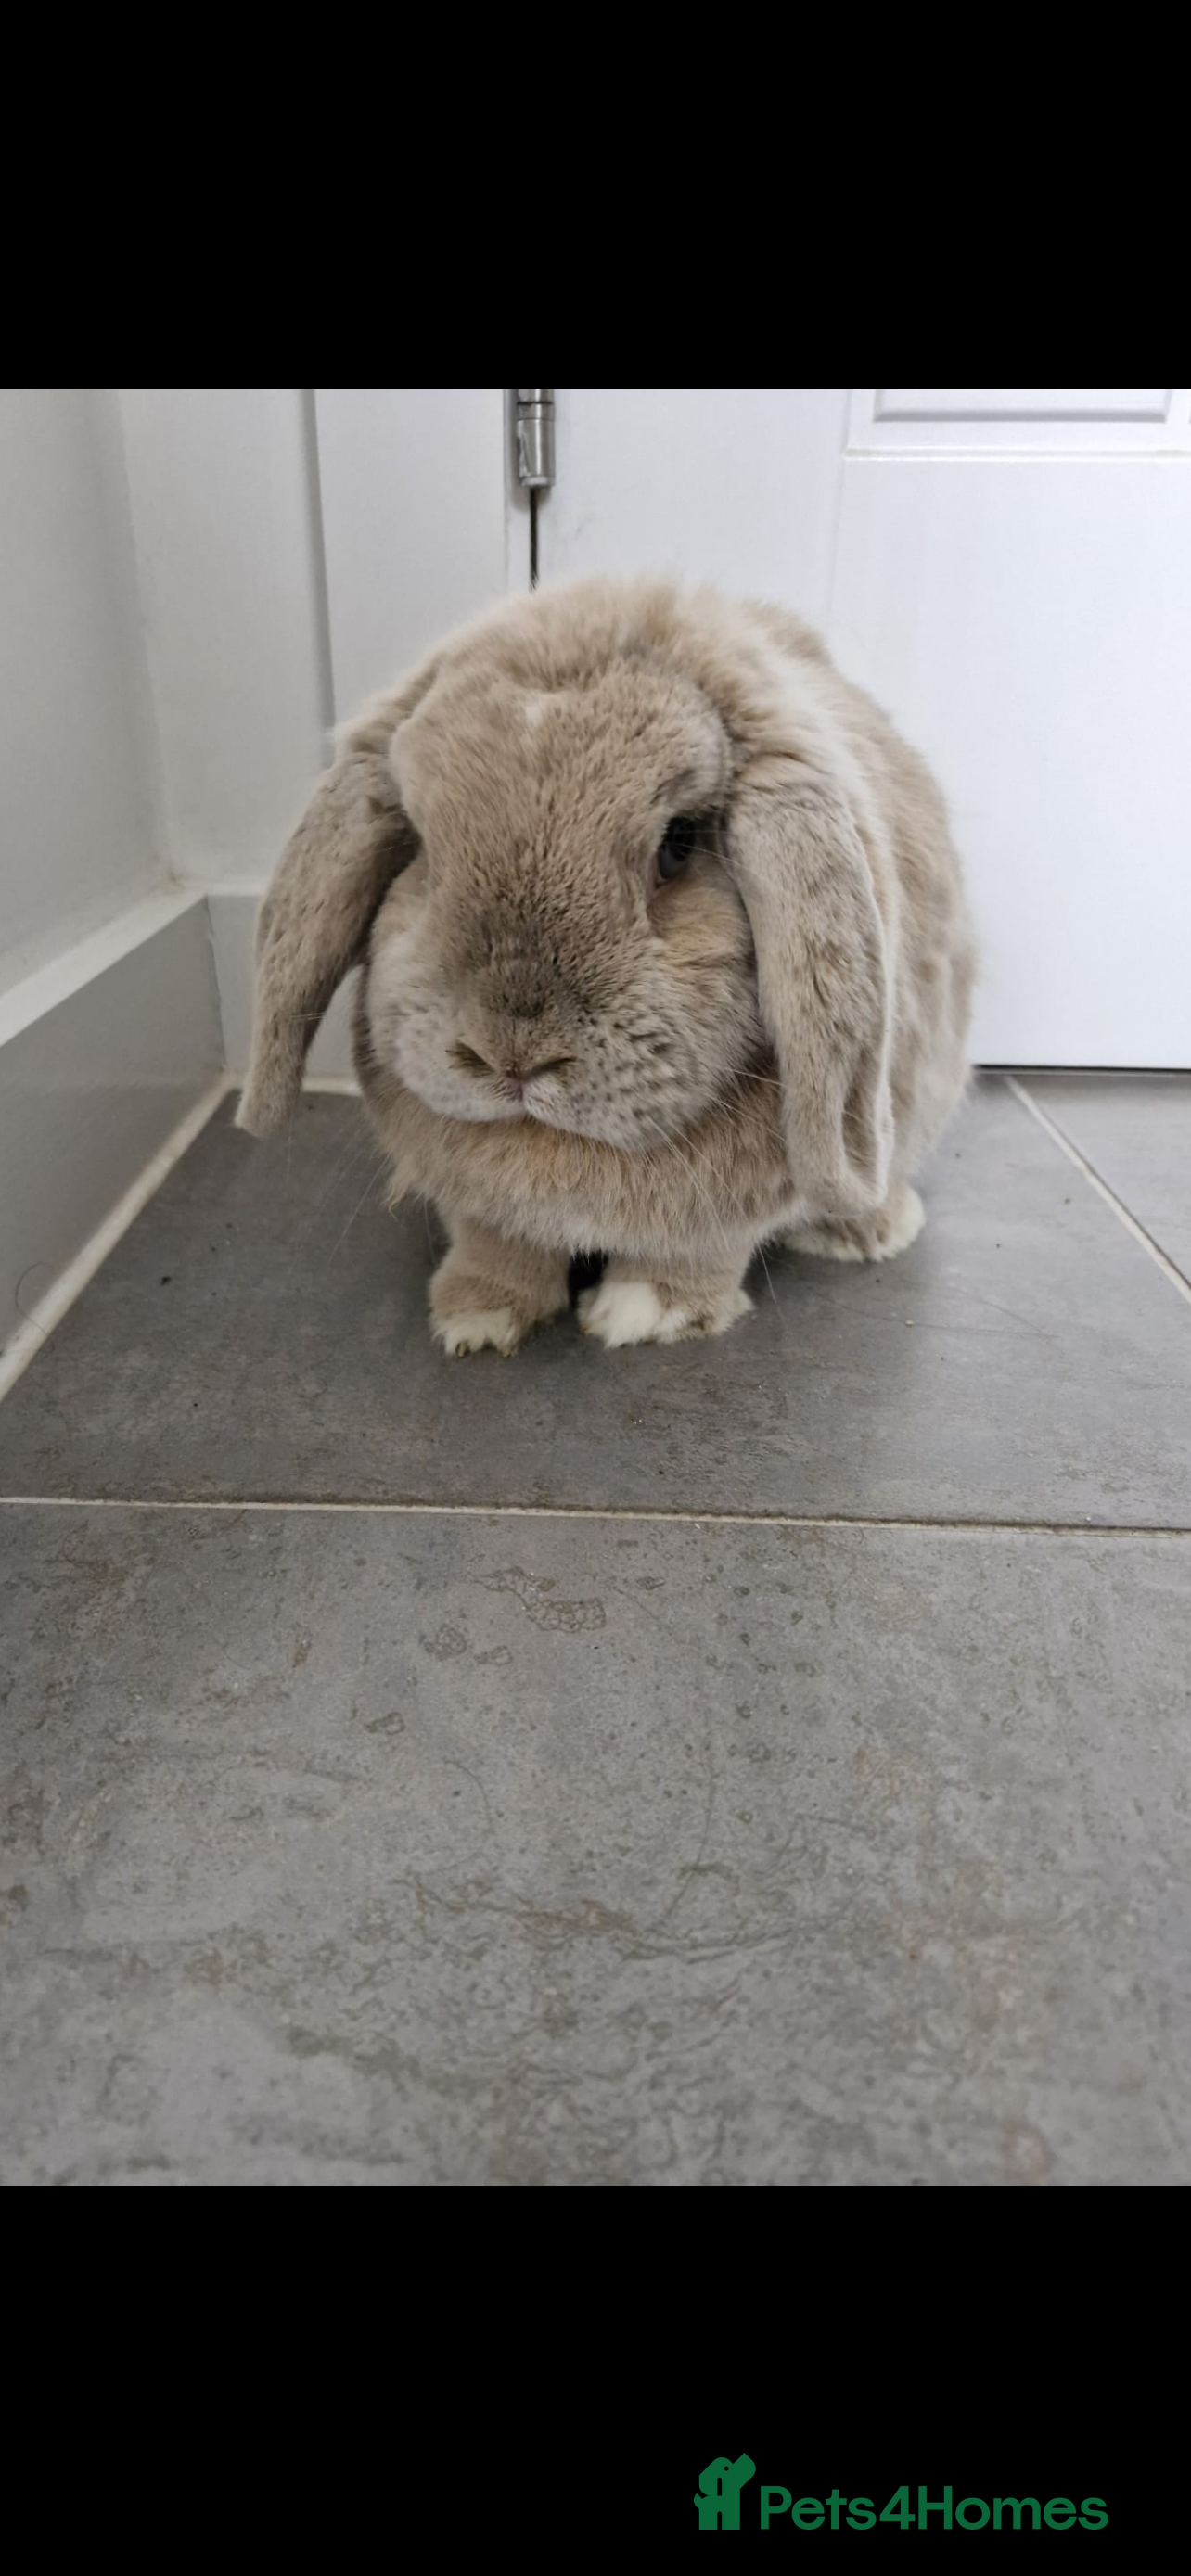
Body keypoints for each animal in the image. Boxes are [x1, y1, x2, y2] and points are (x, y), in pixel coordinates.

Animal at [237, 576, 975, 1354]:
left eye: (678, 843)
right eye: (420, 844)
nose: (511, 1058)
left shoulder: (723, 1218)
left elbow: (697, 1252)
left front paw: (644, 1314)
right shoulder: (482, 1207)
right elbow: (495, 1242)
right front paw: (477, 1316)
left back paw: (869, 1231)